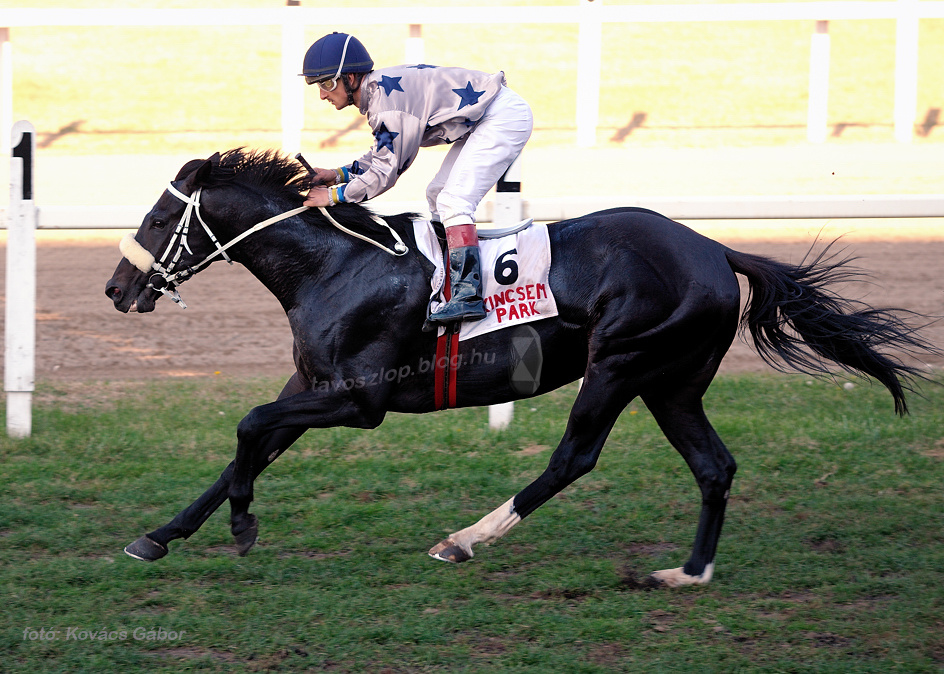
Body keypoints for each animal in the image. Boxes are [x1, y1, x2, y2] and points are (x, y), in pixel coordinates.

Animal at [105, 147, 928, 584]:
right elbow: (246, 448)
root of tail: (714, 249)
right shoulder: (311, 385)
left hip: (621, 364)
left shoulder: (360, 401)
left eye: (158, 217)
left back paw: (465, 538)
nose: (116, 288)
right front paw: (160, 534)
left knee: (574, 456)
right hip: (672, 382)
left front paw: (243, 525)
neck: (334, 264)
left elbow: (249, 426)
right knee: (713, 466)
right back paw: (687, 571)